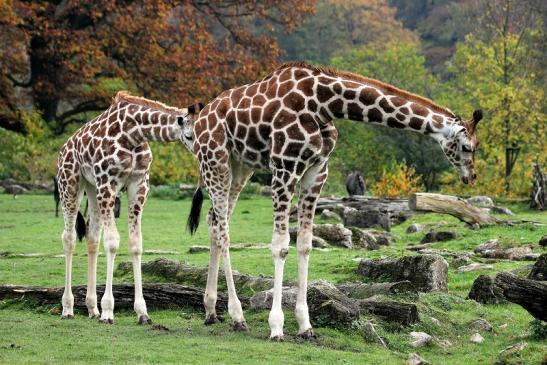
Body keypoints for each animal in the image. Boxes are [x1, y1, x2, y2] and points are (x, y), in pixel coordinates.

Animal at [57, 92, 203, 322]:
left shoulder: (138, 186)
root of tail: (64, 148)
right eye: (188, 136)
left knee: (92, 238)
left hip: (92, 187)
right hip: (70, 184)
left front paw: (142, 311)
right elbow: (112, 243)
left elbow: (135, 244)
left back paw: (92, 308)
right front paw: (108, 311)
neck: (134, 135)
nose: (201, 152)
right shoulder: (108, 184)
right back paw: (68, 308)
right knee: (69, 238)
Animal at [187, 61, 484, 340]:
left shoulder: (317, 172)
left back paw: (211, 310)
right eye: (467, 147)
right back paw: (237, 316)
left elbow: (305, 245)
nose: (471, 176)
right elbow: (281, 246)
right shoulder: (284, 166)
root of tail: (200, 120)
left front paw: (305, 325)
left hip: (240, 166)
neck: (324, 104)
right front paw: (277, 327)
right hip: (215, 161)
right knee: (224, 230)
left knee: (214, 220)